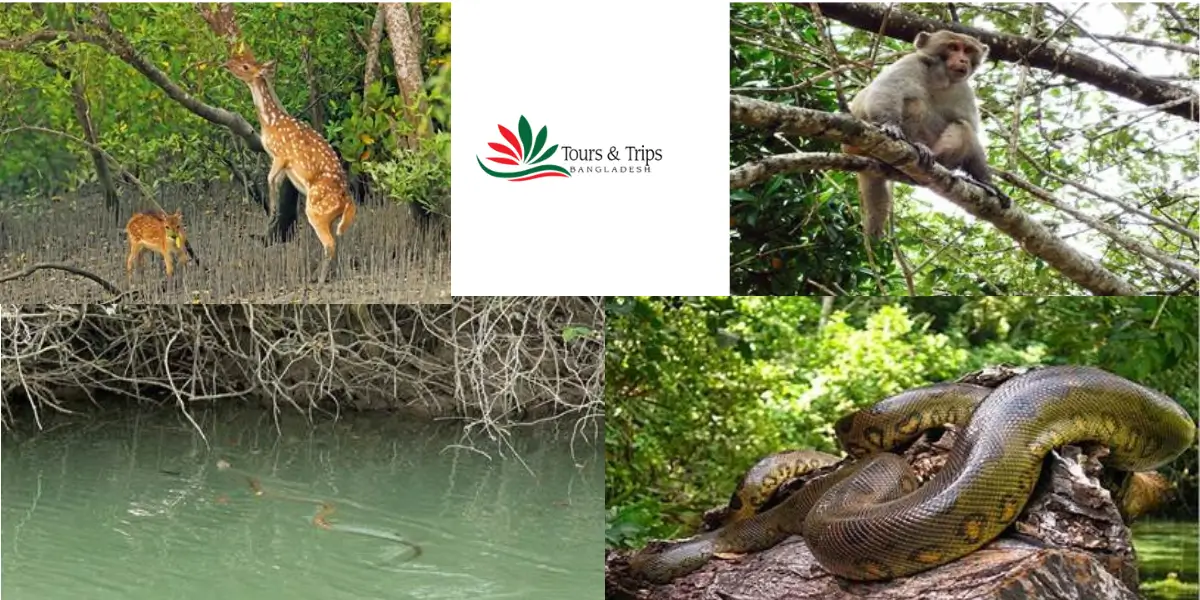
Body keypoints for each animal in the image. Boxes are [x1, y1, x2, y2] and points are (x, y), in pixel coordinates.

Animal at [225, 53, 355, 283]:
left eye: (246, 65)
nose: (227, 64)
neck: (270, 123)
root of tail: (347, 201)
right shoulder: (282, 164)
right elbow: (275, 182)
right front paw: (273, 215)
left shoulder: (281, 154)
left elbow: (269, 180)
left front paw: (271, 214)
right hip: (331, 217)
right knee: (338, 240)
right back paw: (322, 274)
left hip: (316, 210)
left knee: (330, 244)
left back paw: (319, 280)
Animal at [849, 29, 1008, 237]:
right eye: (953, 47)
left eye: (967, 50)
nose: (963, 60)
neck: (941, 79)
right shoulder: (910, 63)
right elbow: (883, 92)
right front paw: (890, 125)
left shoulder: (964, 89)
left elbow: (970, 129)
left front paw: (986, 181)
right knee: (915, 103)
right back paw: (915, 146)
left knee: (963, 126)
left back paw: (940, 161)